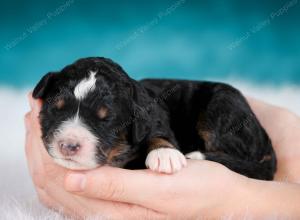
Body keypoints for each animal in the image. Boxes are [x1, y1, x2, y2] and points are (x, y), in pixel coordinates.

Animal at [32, 57, 276, 180]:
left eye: (106, 120)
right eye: (56, 109)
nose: (68, 145)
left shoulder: (155, 117)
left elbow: (158, 133)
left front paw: (164, 154)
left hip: (222, 108)